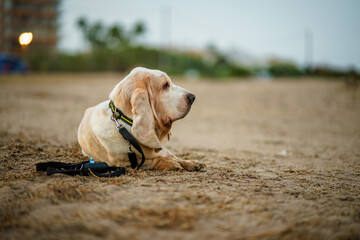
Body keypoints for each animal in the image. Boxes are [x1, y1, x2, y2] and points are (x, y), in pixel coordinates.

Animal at [77, 67, 205, 172]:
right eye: (165, 85)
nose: (192, 97)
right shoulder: (126, 163)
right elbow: (153, 161)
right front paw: (170, 163)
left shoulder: (164, 151)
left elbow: (173, 156)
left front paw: (191, 163)